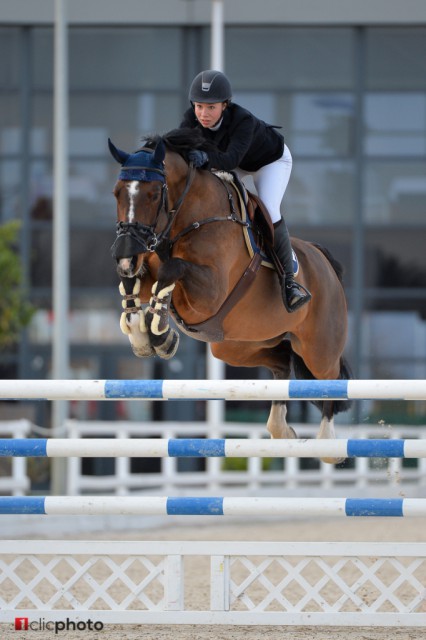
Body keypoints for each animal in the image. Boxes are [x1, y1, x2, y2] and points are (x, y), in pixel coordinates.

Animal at [108, 127, 352, 462]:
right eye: (117, 192)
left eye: (153, 194)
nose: (125, 255)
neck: (188, 218)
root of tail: (325, 261)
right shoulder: (150, 274)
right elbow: (135, 286)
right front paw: (143, 333)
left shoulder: (209, 294)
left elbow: (172, 270)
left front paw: (160, 334)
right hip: (235, 345)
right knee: (281, 361)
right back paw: (281, 430)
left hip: (319, 348)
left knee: (330, 380)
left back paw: (328, 445)